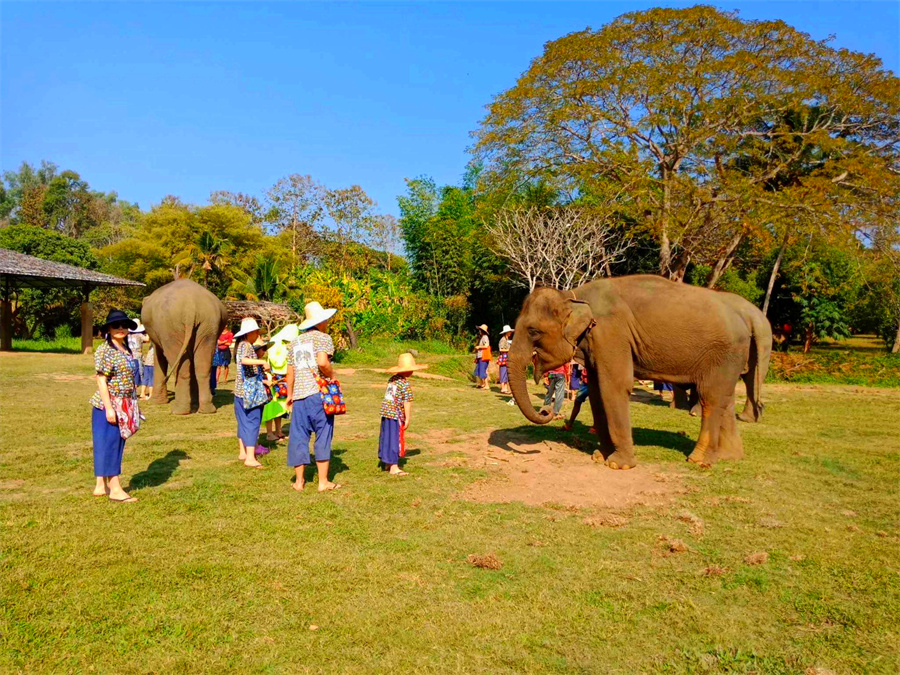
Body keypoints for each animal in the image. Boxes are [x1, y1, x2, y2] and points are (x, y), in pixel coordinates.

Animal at [141, 278, 227, 414]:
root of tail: (190, 307)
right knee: (202, 367)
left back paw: (179, 411)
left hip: (169, 329)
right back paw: (206, 410)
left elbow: (159, 357)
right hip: (209, 326)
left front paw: (155, 402)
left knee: (179, 366)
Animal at [506, 274, 768, 470]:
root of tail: (745, 319)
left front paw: (617, 465)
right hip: (729, 359)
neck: (573, 296)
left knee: (711, 398)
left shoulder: (611, 332)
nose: (546, 410)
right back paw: (728, 456)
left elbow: (614, 386)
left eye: (533, 332)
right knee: (725, 399)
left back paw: (698, 460)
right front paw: (600, 456)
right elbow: (597, 391)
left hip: (724, 354)